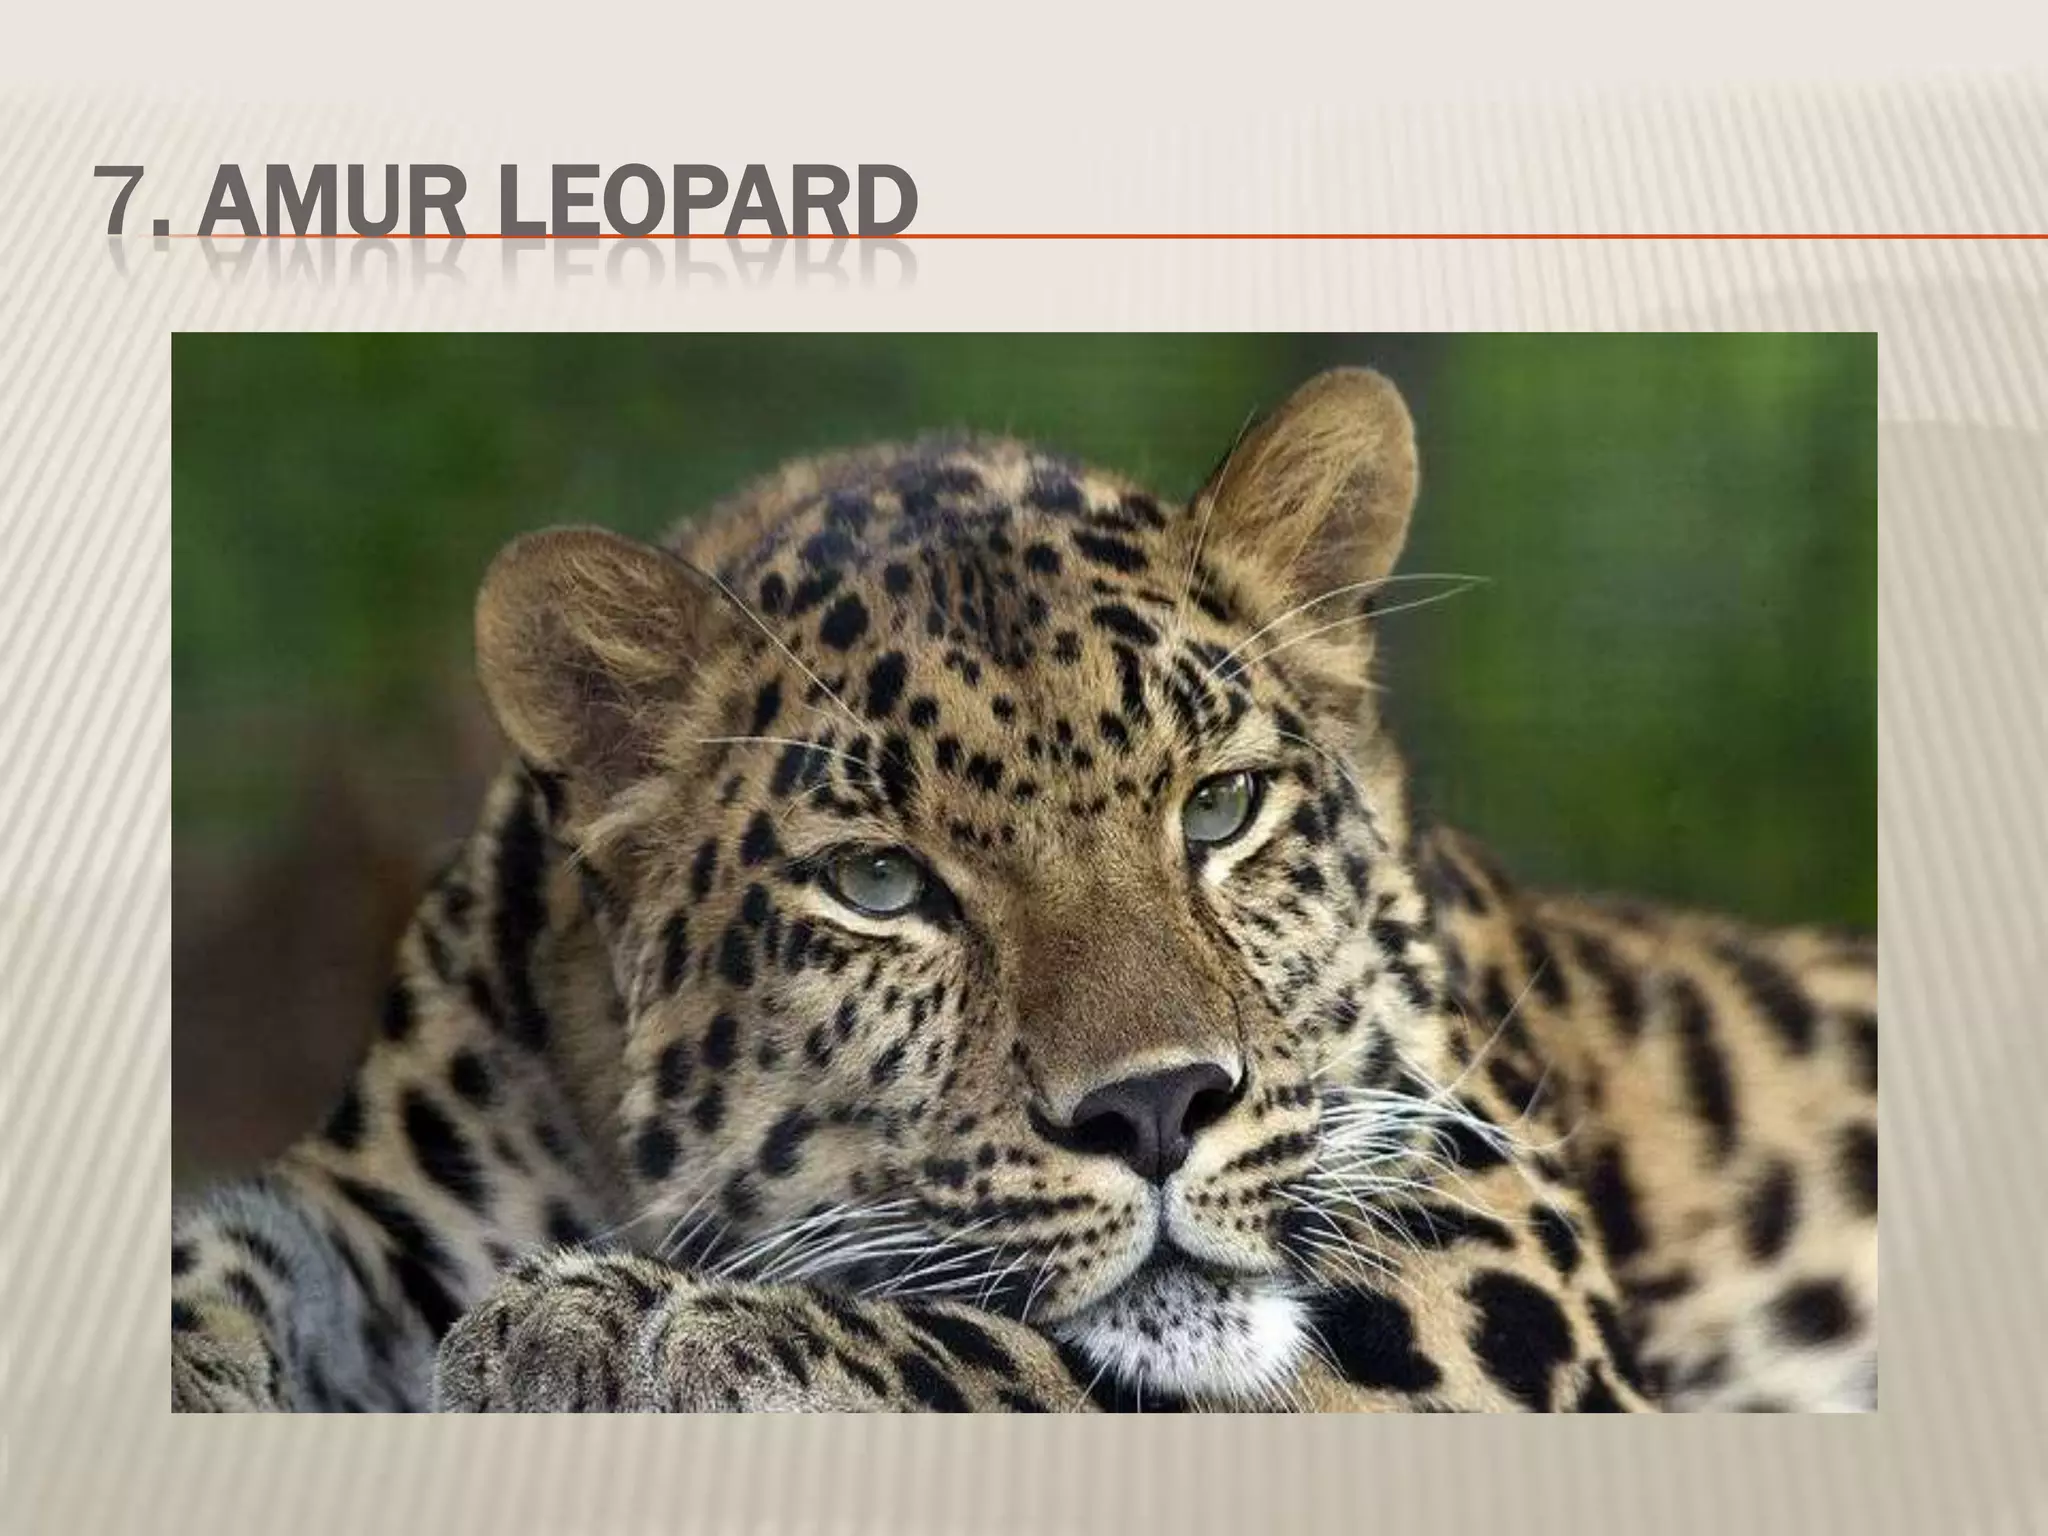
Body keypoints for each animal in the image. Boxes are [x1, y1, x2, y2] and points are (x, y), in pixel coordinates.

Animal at [171, 367, 1877, 1413]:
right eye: (880, 883)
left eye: (1222, 808)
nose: (1158, 1108)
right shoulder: (378, 1205)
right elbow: (218, 1257)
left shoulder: (1486, 1256)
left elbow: (1043, 1357)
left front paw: (650, 1328)